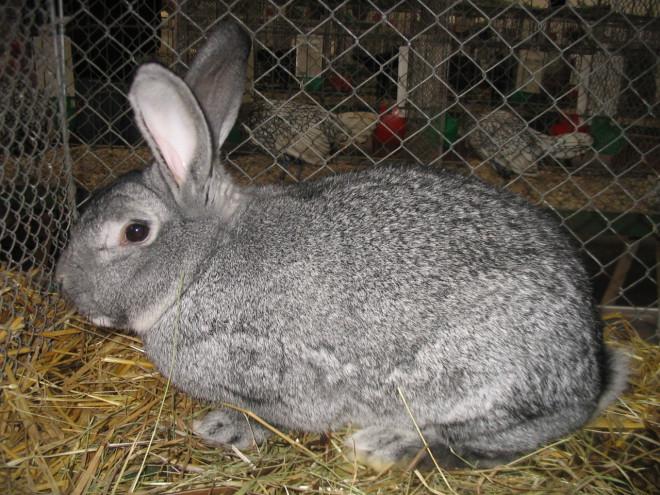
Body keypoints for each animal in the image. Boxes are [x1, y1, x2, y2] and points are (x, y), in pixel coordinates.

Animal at [55, 19, 629, 471]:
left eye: (134, 232)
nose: (63, 285)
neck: (201, 266)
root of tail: (588, 368)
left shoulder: (276, 377)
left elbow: (275, 417)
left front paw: (223, 428)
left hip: (482, 376)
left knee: (508, 436)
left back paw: (387, 445)